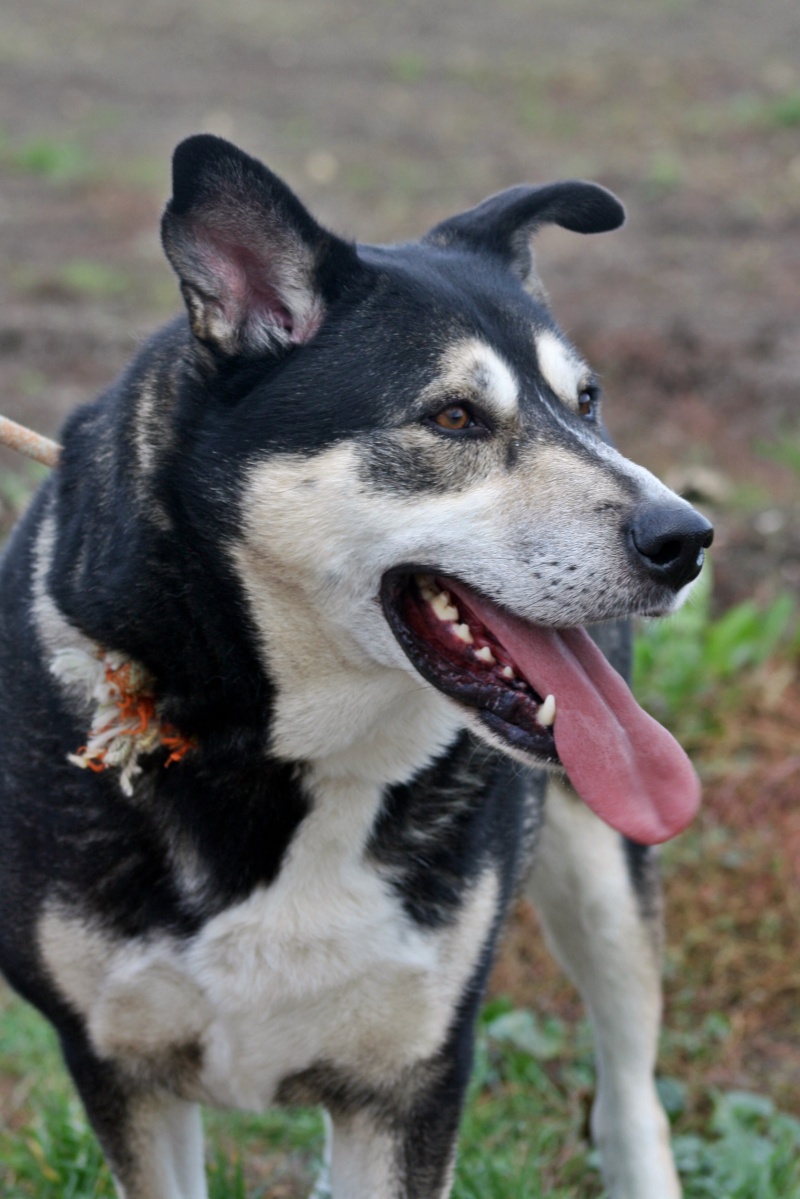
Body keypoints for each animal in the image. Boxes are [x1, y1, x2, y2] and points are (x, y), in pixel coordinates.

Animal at [0, 133, 714, 1199]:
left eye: (587, 403)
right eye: (455, 418)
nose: (688, 538)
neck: (284, 752)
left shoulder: (411, 1080)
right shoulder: (121, 1069)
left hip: (605, 874)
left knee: (629, 1091)